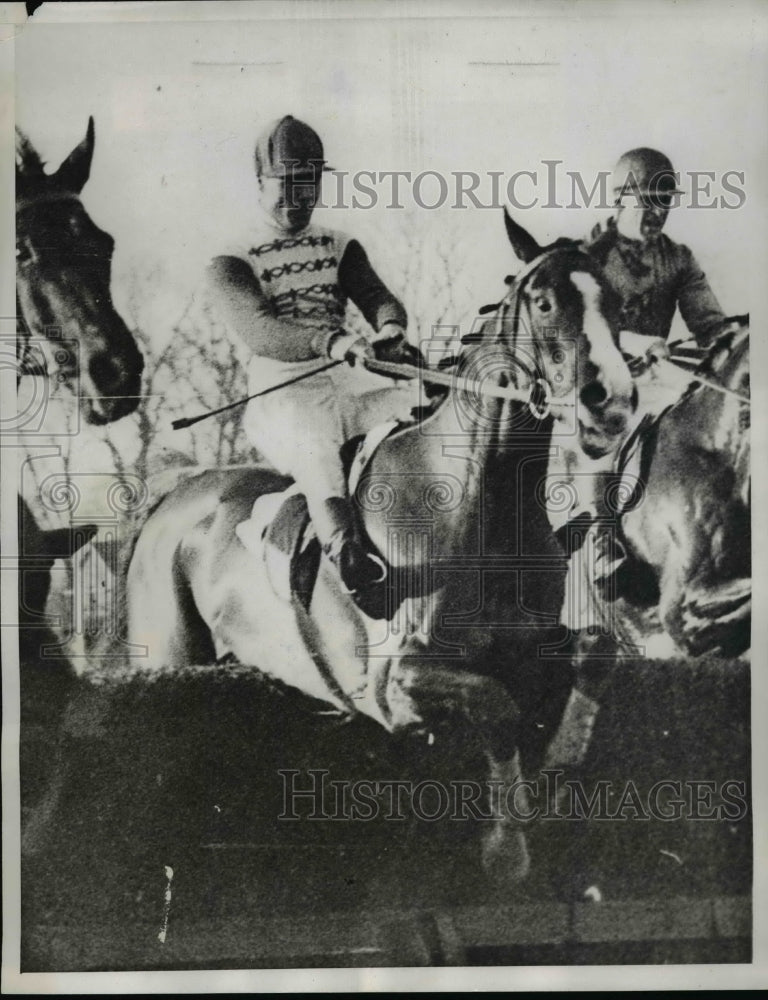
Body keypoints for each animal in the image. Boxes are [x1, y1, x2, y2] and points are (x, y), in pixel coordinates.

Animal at [123, 223, 632, 880]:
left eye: (617, 303)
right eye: (545, 302)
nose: (611, 403)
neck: (480, 504)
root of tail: (170, 498)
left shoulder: (533, 643)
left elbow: (597, 650)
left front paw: (560, 761)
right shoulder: (397, 682)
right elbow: (496, 706)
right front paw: (506, 844)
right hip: (168, 655)